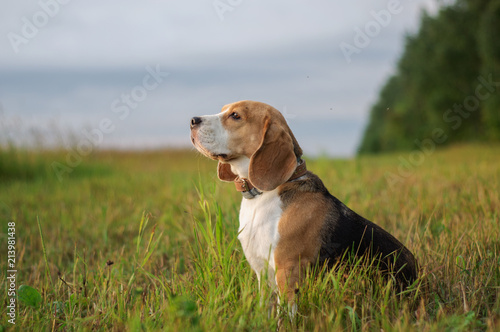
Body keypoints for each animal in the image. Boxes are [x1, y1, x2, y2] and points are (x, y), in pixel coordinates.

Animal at [191, 100, 418, 308]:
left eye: (235, 116)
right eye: (223, 110)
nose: (193, 120)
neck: (261, 195)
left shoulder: (288, 271)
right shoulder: (261, 273)